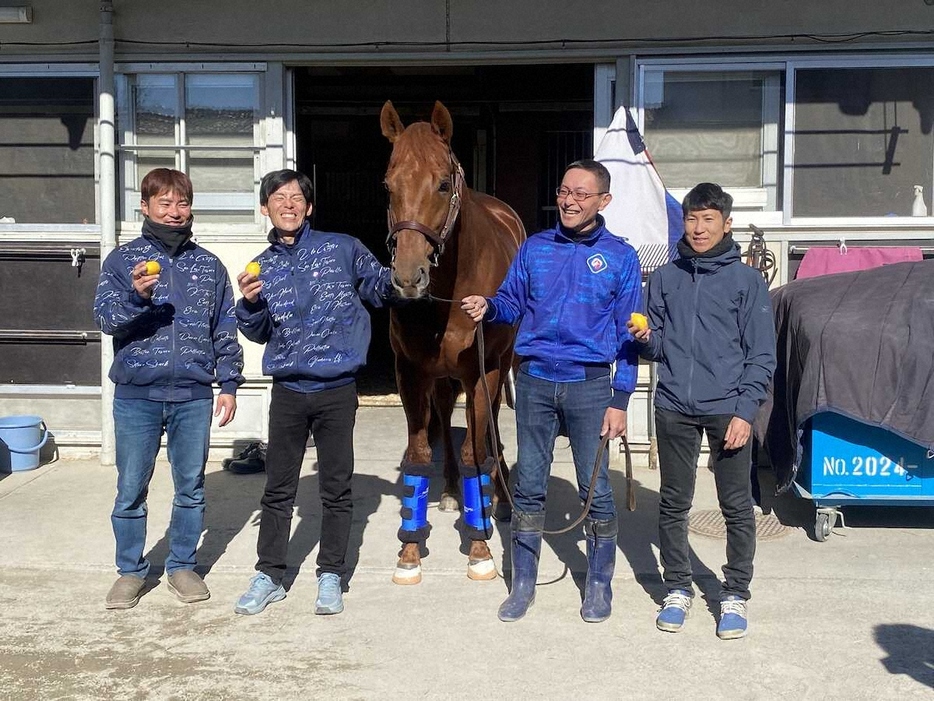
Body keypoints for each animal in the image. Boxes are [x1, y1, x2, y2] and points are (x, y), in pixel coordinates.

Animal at [380, 101, 528, 584]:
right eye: (388, 185)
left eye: (443, 184)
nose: (408, 278)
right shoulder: (410, 374)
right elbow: (419, 454)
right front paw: (409, 551)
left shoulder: (484, 371)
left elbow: (473, 453)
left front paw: (480, 548)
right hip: (442, 378)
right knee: (445, 418)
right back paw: (447, 493)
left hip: (497, 369)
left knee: (490, 430)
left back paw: (498, 496)